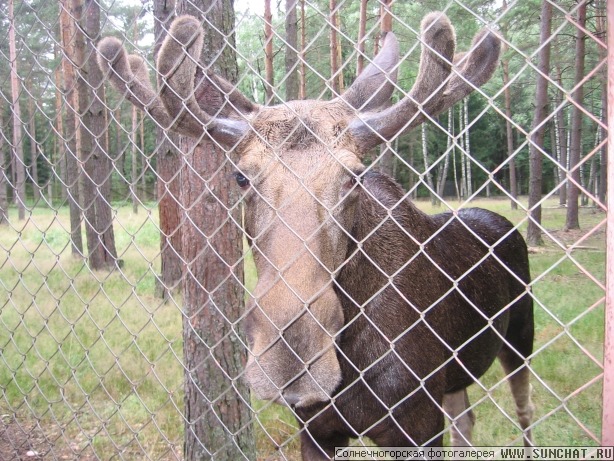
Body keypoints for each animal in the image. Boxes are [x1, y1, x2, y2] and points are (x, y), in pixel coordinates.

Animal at [97, 12, 536, 458]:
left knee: (524, 410)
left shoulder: (418, 425)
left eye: (354, 177)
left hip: (520, 338)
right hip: (460, 375)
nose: (292, 359)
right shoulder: (315, 428)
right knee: (466, 416)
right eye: (241, 177)